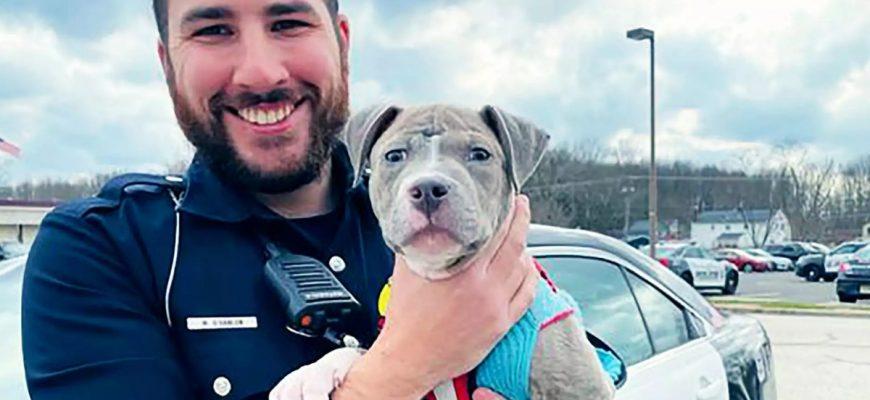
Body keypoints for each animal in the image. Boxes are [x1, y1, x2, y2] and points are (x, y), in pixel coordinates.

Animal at [344, 104, 616, 398]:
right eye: (394, 155)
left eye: (480, 154)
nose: (427, 188)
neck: (439, 270)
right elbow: (360, 352)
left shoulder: (579, 384)